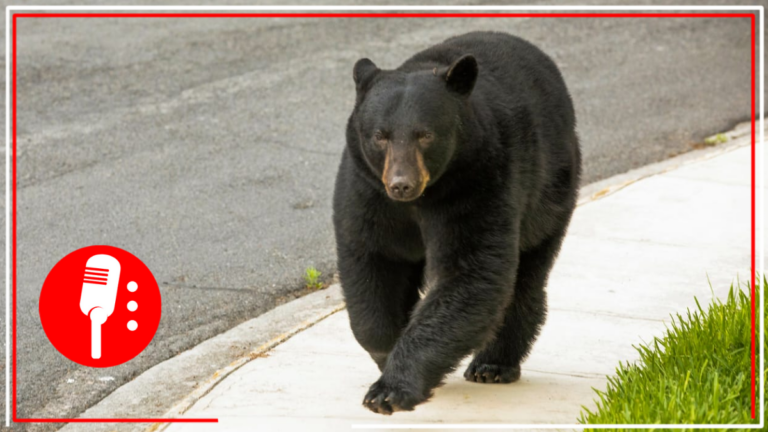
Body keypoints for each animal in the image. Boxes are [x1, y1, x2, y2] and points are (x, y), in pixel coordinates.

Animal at [332, 31, 581, 415]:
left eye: (425, 134)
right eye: (380, 135)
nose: (401, 183)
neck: (421, 200)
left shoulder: (478, 182)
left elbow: (471, 273)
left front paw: (391, 389)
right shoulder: (368, 191)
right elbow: (373, 262)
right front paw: (386, 354)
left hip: (551, 191)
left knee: (526, 275)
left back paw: (493, 364)